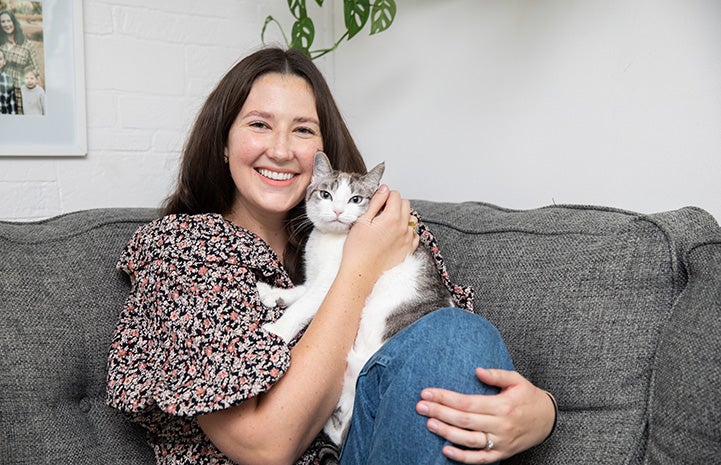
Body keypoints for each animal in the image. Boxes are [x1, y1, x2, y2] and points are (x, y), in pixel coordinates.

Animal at [256, 152, 452, 446]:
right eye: (326, 194)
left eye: (355, 199)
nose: (337, 211)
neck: (328, 241)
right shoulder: (315, 279)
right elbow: (300, 292)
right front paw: (273, 294)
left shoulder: (330, 283)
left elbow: (302, 307)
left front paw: (278, 329)